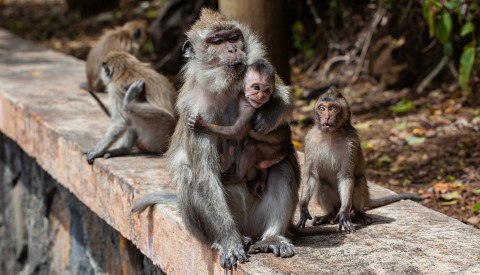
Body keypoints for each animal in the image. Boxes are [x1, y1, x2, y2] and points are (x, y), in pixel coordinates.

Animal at [188, 58, 294, 198]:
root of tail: (286, 146)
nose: (261, 96)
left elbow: (237, 131)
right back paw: (262, 176)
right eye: (256, 87)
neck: (245, 99)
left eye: (267, 90)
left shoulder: (250, 111)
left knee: (252, 148)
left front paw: (201, 126)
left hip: (275, 151)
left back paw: (239, 177)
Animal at [294, 88, 422, 233]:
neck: (331, 134)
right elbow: (310, 175)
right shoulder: (310, 139)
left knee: (359, 181)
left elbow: (346, 176)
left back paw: (359, 215)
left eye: (332, 108)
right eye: (322, 108)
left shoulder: (351, 141)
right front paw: (303, 209)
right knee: (322, 183)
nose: (326, 117)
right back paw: (329, 216)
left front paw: (344, 214)